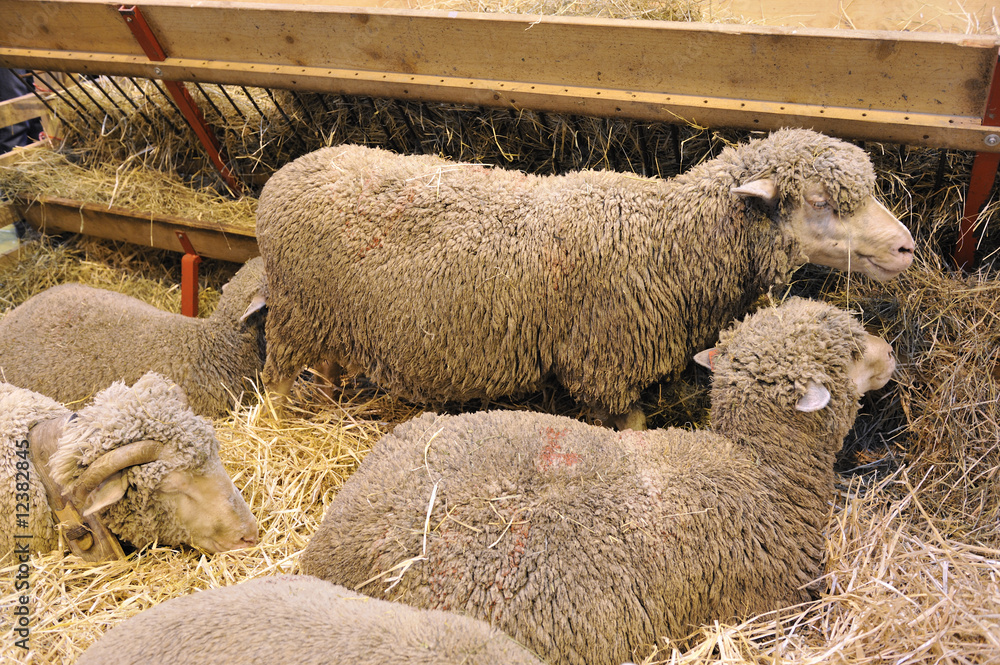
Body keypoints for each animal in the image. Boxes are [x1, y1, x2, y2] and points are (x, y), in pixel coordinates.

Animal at [255, 129, 912, 428]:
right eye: (822, 202)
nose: (907, 247)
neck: (670, 242)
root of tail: (284, 175)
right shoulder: (605, 365)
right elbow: (634, 425)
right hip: (294, 313)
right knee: (277, 377)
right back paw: (279, 428)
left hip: (333, 315)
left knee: (329, 362)